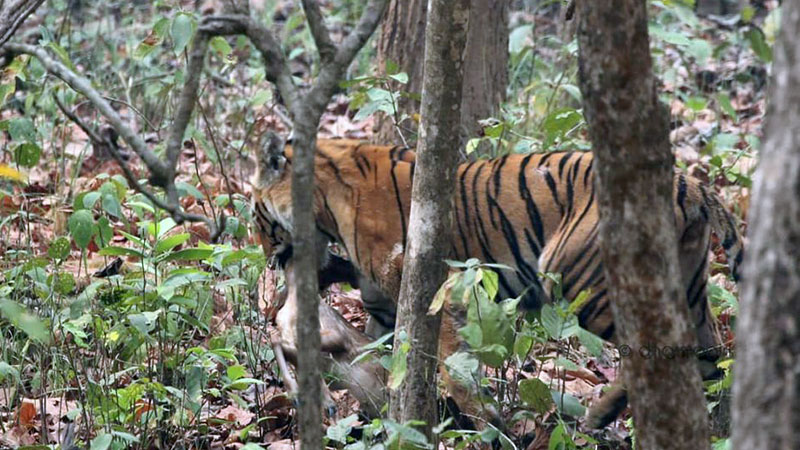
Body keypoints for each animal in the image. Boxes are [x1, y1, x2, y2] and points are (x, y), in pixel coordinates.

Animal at [250, 133, 744, 428]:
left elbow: (449, 360)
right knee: (707, 356)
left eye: (255, 216)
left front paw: (482, 419)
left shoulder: (435, 288)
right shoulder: (383, 309)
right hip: (688, 286)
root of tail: (688, 183)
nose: (268, 261)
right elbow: (380, 363)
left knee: (660, 347)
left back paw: (600, 414)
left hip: (580, 278)